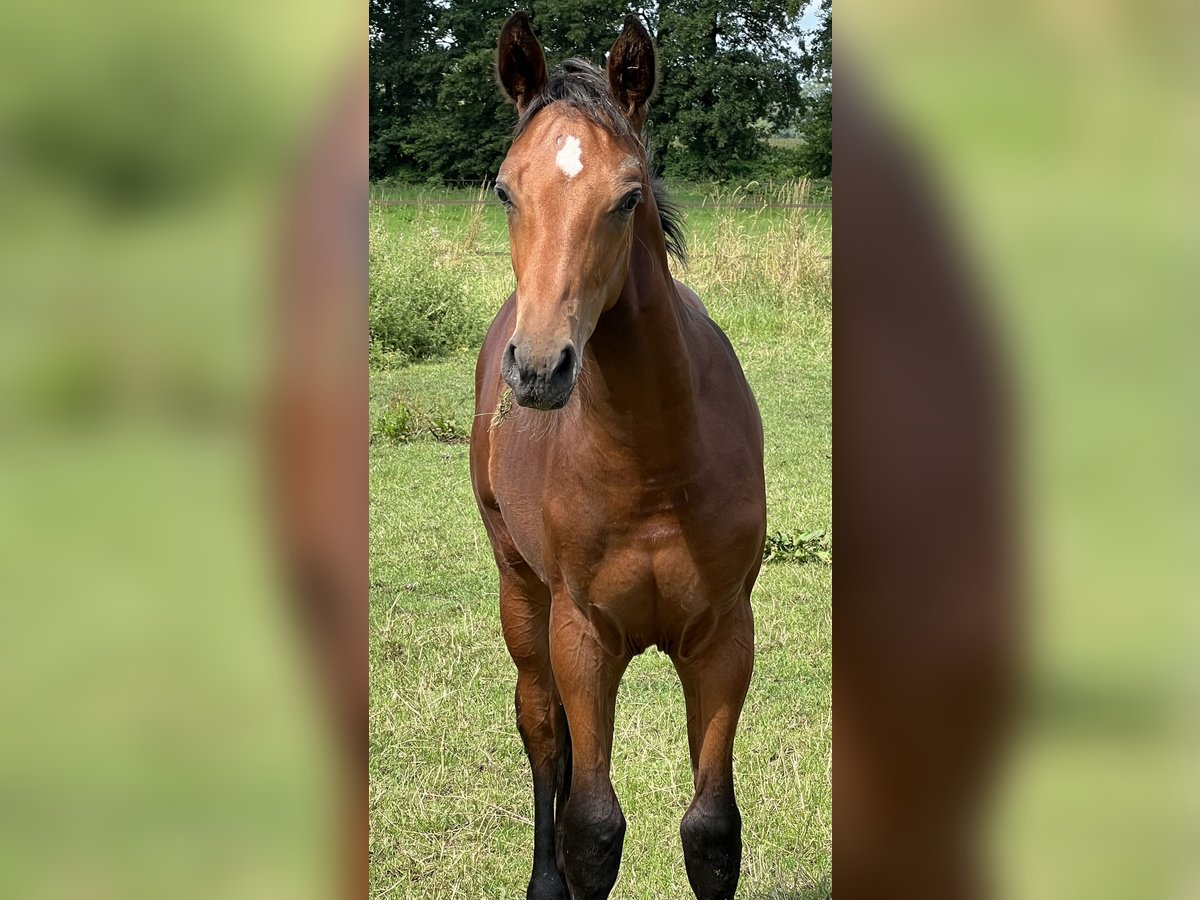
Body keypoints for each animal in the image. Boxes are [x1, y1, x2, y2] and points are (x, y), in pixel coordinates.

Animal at [470, 14, 768, 900]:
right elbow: (593, 828)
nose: (539, 368)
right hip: (522, 591)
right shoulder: (584, 638)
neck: (654, 469)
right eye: (506, 189)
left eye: (627, 196)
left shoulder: (723, 638)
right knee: (542, 730)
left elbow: (712, 831)